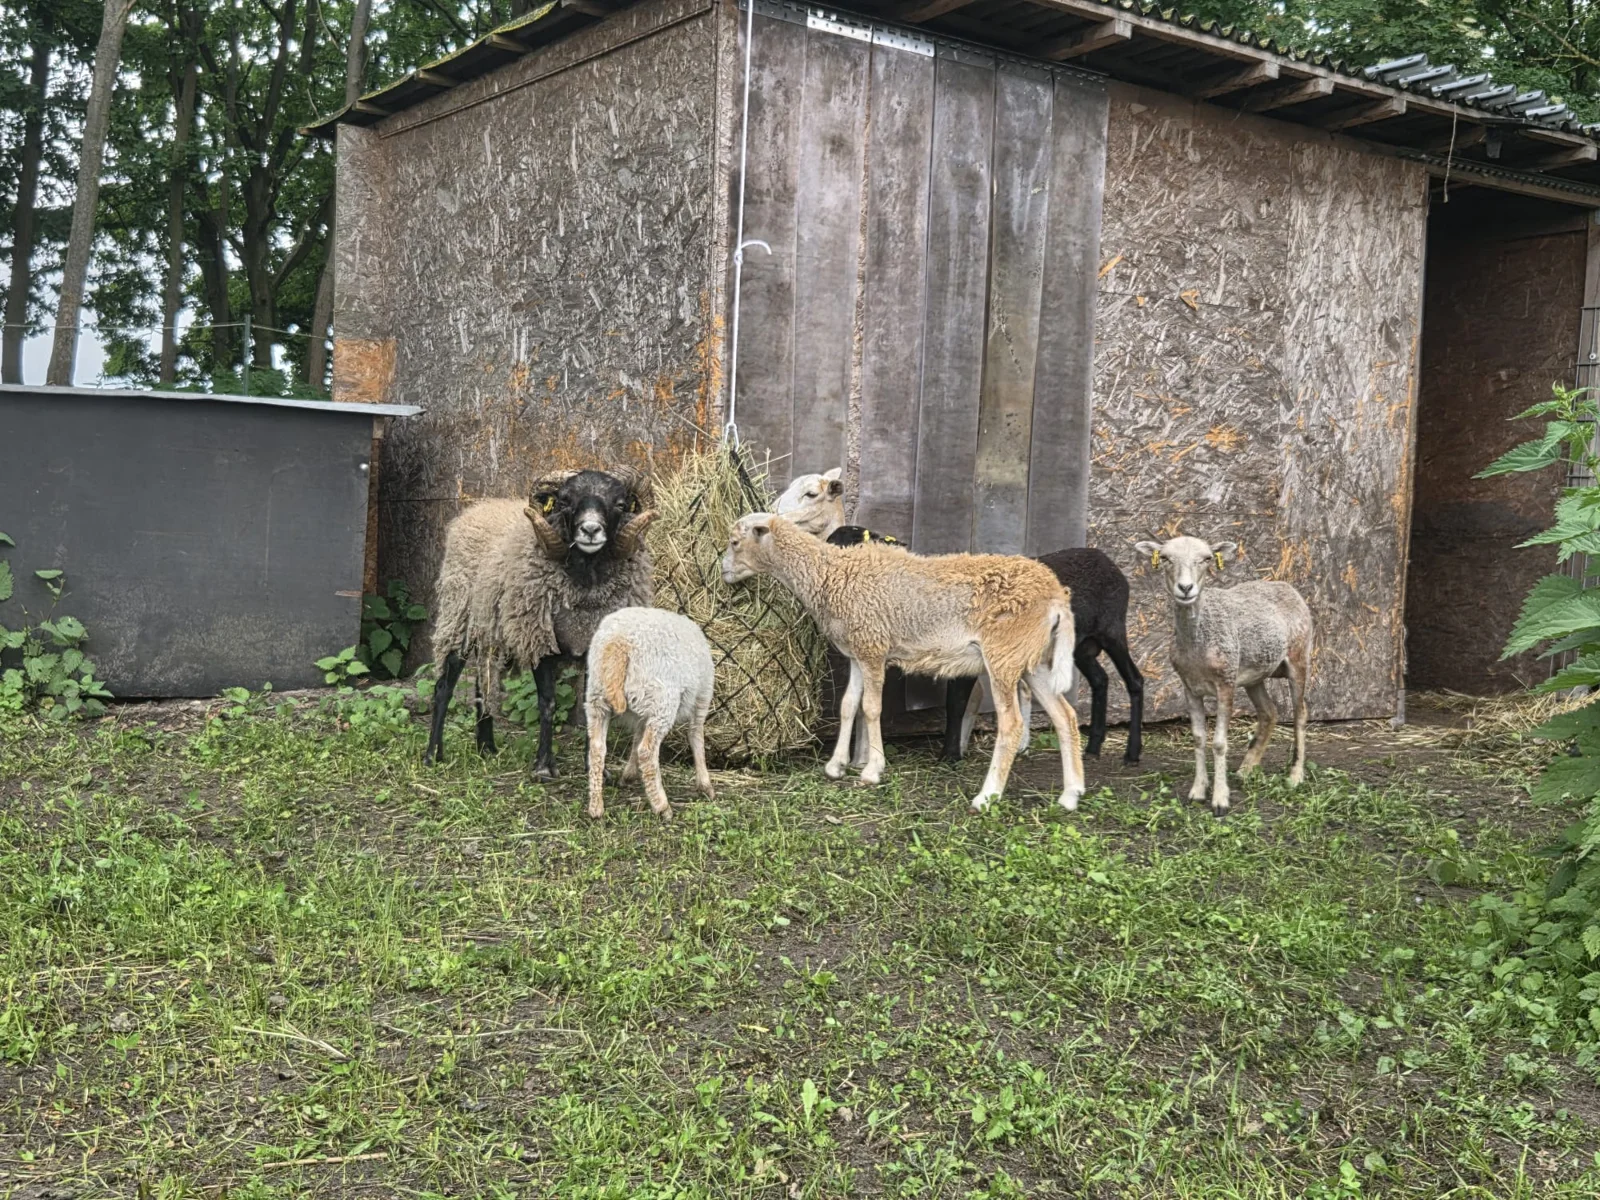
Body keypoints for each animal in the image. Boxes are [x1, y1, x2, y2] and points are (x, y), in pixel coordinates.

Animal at [423, 468, 657, 778]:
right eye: (565, 501)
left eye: (619, 504)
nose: (590, 530)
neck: (586, 584)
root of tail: (476, 509)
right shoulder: (540, 640)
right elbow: (548, 703)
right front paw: (544, 766)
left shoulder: (596, 647)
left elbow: (592, 708)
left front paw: (594, 768)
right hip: (457, 618)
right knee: (444, 688)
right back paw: (432, 756)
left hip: (490, 632)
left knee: (484, 685)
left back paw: (486, 747)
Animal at [583, 607, 715, 821]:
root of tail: (618, 642)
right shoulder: (702, 696)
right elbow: (696, 737)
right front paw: (705, 785)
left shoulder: (643, 712)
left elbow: (637, 735)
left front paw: (629, 774)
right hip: (661, 699)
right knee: (646, 751)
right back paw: (662, 806)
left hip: (598, 699)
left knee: (597, 749)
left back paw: (596, 807)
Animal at [720, 513, 1085, 811]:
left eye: (735, 542)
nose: (723, 572)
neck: (832, 573)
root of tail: (1056, 597)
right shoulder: (858, 652)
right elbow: (848, 706)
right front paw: (836, 766)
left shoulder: (873, 649)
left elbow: (871, 709)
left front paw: (872, 770)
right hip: (1034, 659)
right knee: (1065, 716)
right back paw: (1070, 796)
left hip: (1004, 655)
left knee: (1012, 724)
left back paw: (986, 796)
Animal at [1133, 536, 1314, 816]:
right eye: (1165, 558)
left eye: (1206, 559)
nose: (1186, 588)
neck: (1198, 645)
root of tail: (1286, 585)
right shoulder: (1189, 686)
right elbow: (1198, 739)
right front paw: (1197, 792)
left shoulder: (1225, 682)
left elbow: (1219, 743)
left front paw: (1220, 800)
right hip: (1254, 675)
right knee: (1269, 712)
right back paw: (1246, 769)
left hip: (1298, 657)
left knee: (1300, 713)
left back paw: (1295, 776)